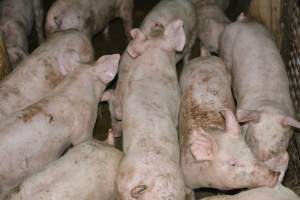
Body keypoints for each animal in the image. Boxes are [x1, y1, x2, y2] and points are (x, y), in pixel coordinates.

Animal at [109, 0, 198, 138]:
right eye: (111, 115)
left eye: (119, 119)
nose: (114, 134)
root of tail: (185, 1)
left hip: (194, 31)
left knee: (188, 50)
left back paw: (187, 62)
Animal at [218, 14, 300, 181]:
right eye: (255, 138)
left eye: (280, 140)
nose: (263, 158)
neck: (269, 106)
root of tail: (244, 20)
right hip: (224, 47)